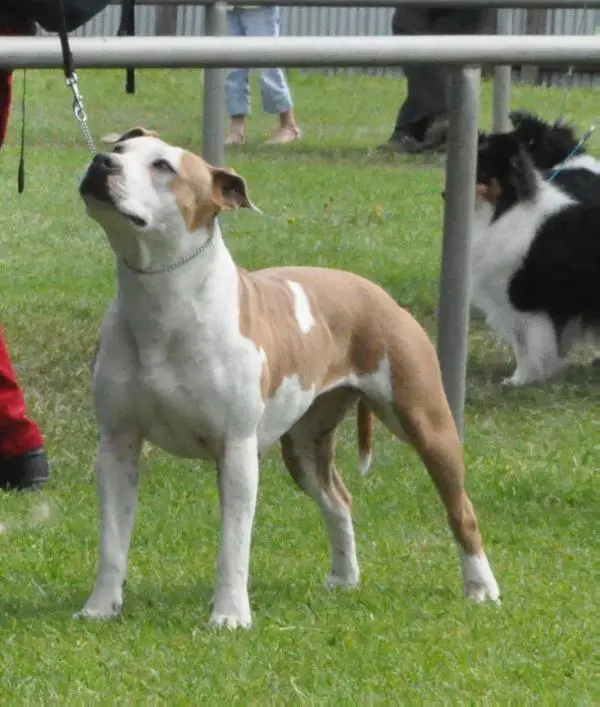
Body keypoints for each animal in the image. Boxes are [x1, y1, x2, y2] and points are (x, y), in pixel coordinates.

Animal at [78, 127, 502, 632]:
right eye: (119, 150)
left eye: (163, 166)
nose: (101, 162)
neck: (160, 298)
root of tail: (373, 290)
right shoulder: (117, 445)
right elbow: (112, 541)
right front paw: (101, 607)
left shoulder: (236, 449)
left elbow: (234, 546)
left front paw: (229, 615)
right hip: (304, 445)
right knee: (339, 499)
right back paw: (344, 578)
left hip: (426, 422)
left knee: (462, 509)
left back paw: (481, 586)